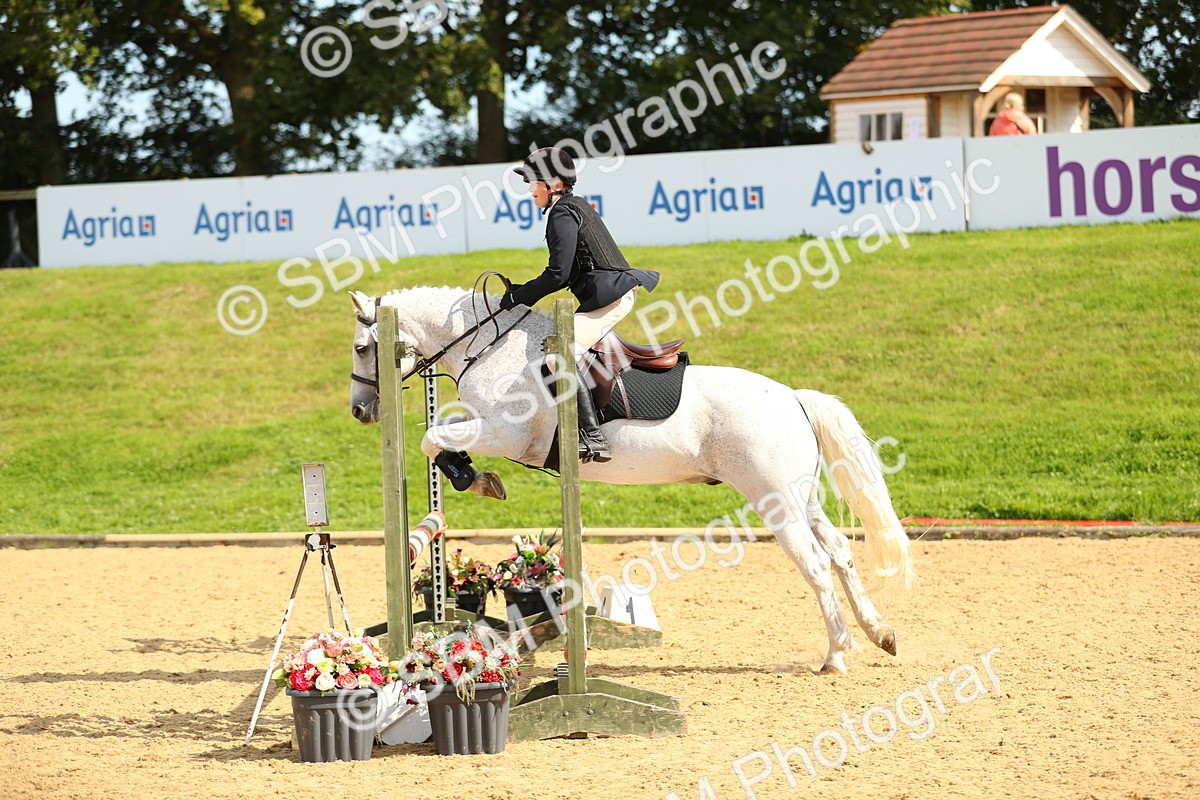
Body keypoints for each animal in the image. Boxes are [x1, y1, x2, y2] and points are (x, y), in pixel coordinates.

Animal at [347, 286, 913, 673]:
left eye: (359, 348)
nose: (359, 412)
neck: (489, 349)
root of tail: (794, 396)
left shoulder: (506, 434)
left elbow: (431, 438)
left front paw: (474, 477)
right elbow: (438, 434)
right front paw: (473, 474)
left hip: (774, 500)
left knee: (815, 563)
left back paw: (837, 654)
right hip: (801, 498)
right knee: (839, 551)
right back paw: (880, 633)